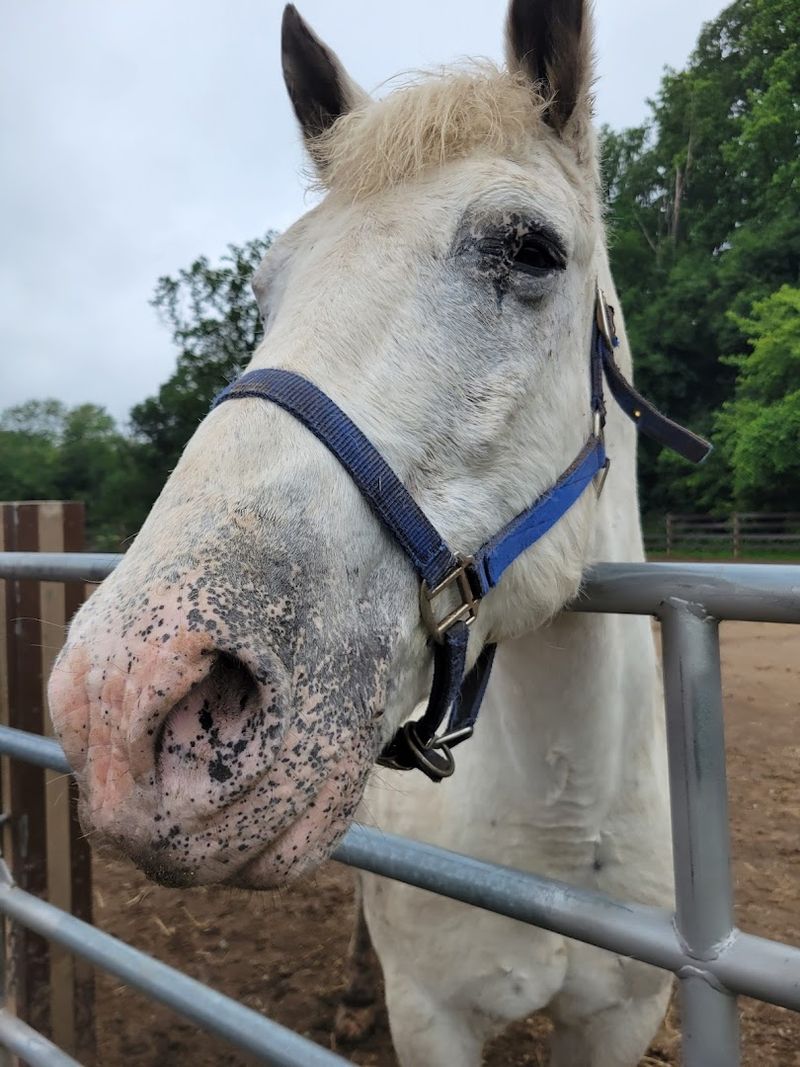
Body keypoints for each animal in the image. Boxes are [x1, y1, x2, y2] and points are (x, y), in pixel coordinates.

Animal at [49, 2, 687, 1063]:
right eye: (266, 289)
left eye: (531, 249)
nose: (122, 699)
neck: (561, 823)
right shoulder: (430, 1013)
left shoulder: (620, 1018)